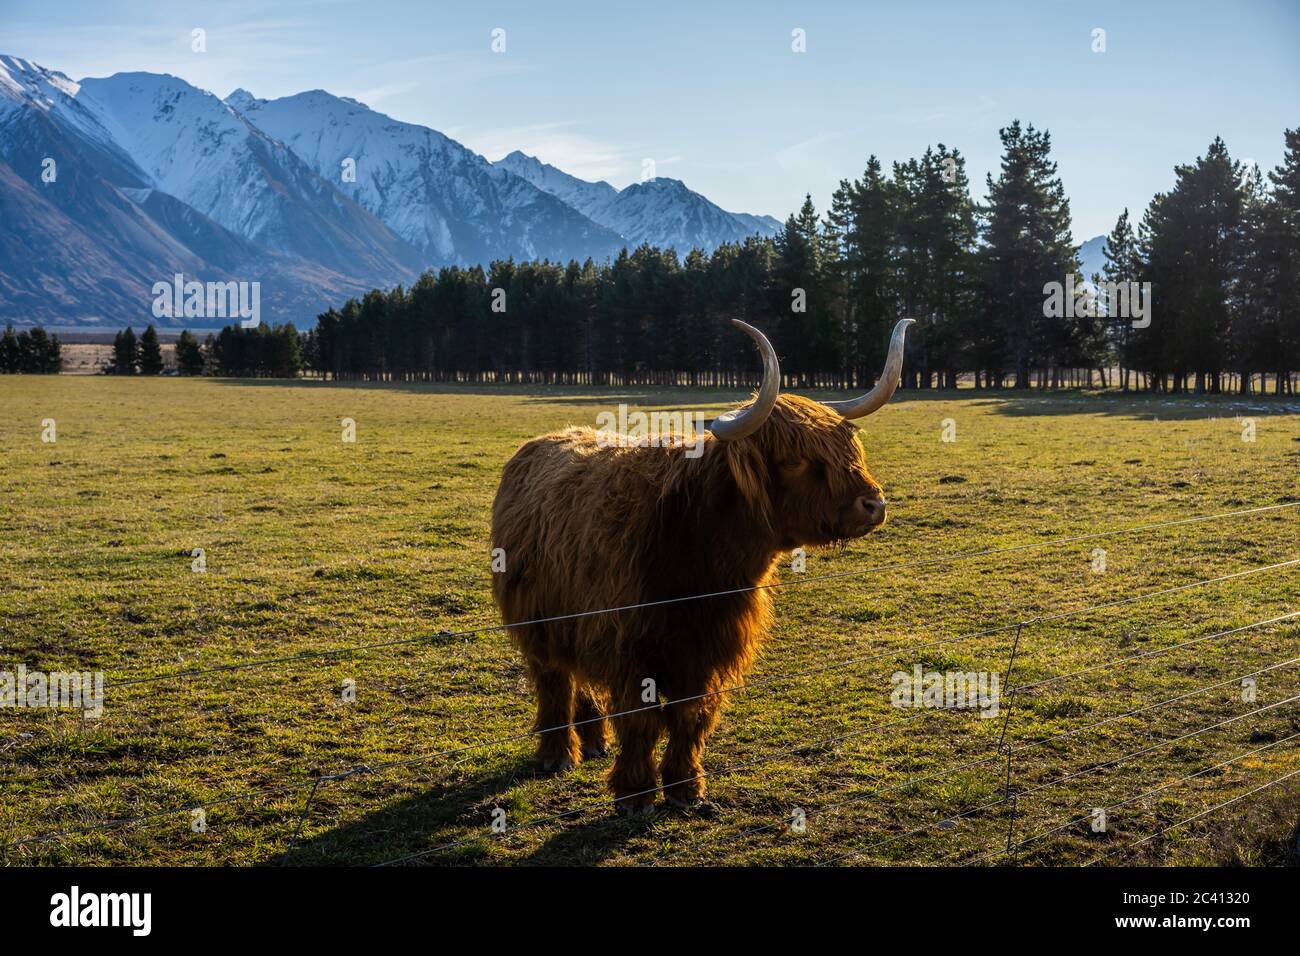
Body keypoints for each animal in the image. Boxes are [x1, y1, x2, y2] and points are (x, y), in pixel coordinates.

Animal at [490, 318, 913, 816]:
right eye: (795, 459)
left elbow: (692, 715)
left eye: (848, 448)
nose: (875, 505)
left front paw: (685, 787)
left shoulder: (709, 646)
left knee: (581, 680)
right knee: (554, 679)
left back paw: (594, 743)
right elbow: (641, 719)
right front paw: (635, 793)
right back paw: (557, 755)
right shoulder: (629, 644)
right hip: (536, 618)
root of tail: (542, 442)